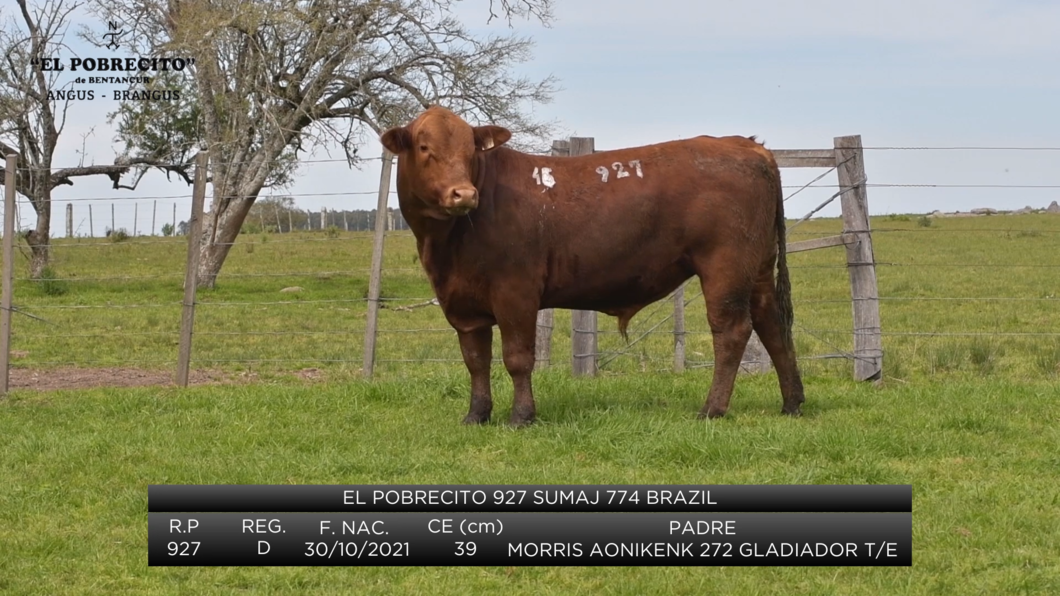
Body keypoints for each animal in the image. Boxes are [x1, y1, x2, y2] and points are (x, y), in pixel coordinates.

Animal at [381, 105, 801, 422]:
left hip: (725, 266)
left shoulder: (515, 291)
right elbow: (475, 360)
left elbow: (517, 357)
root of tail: (746, 145)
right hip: (757, 267)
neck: (447, 246)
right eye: (424, 146)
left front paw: (522, 416)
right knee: (772, 324)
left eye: (471, 148)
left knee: (732, 330)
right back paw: (792, 402)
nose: (464, 193)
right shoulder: (463, 302)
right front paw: (477, 415)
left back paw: (712, 409)